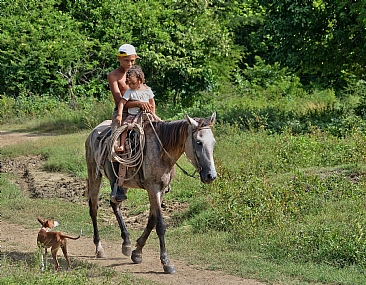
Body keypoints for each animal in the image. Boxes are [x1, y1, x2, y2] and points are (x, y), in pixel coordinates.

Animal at [85, 111, 217, 272]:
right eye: (198, 142)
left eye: (213, 142)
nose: (211, 176)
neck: (161, 151)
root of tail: (94, 132)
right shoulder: (153, 189)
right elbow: (160, 225)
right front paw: (166, 262)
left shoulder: (161, 191)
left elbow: (152, 220)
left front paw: (137, 252)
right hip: (94, 174)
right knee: (94, 208)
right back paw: (99, 248)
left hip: (122, 183)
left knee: (115, 204)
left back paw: (126, 243)